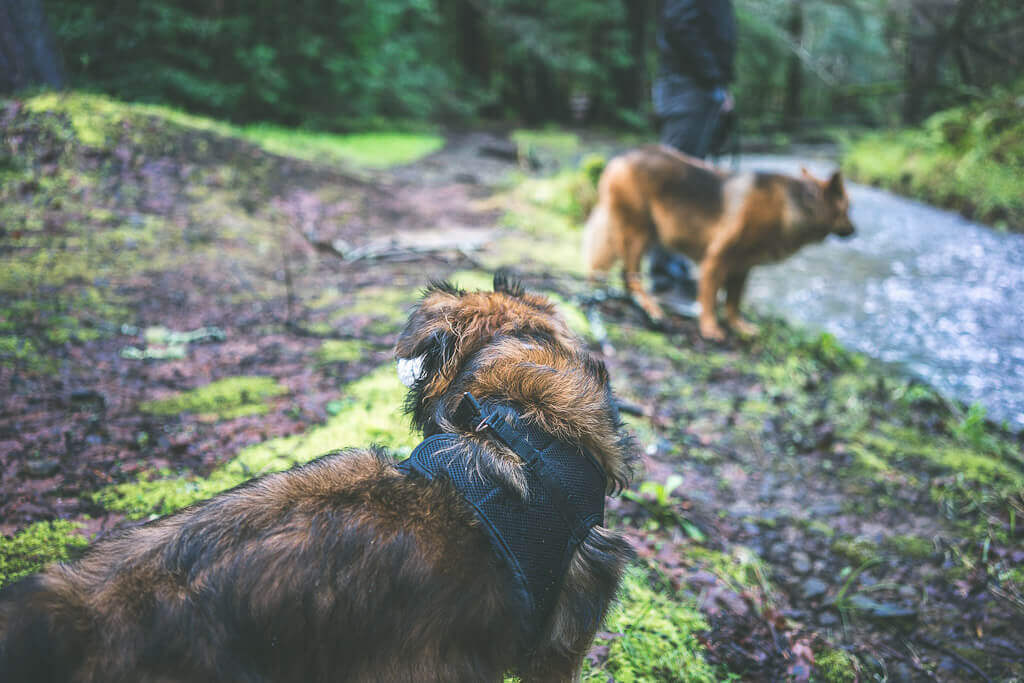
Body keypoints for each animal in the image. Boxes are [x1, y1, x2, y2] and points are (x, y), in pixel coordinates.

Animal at [585, 147, 856, 339]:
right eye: (848, 208)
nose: (855, 230)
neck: (791, 207)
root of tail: (619, 158)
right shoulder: (717, 259)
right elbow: (710, 297)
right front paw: (709, 328)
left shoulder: (742, 267)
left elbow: (733, 302)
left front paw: (738, 326)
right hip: (637, 233)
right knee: (629, 276)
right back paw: (650, 308)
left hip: (644, 233)